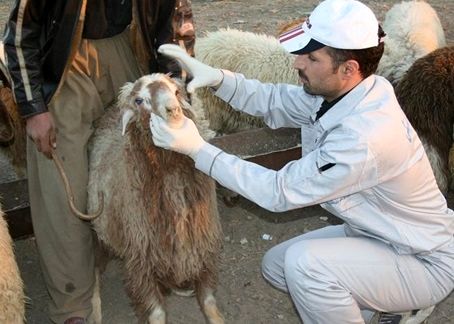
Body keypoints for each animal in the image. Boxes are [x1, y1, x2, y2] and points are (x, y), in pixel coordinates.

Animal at [84, 74, 223, 324]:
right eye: (139, 100)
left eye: (176, 92)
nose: (173, 110)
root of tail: (109, 110)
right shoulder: (140, 260)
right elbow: (156, 313)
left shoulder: (201, 247)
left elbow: (208, 302)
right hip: (98, 231)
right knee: (95, 272)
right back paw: (95, 311)